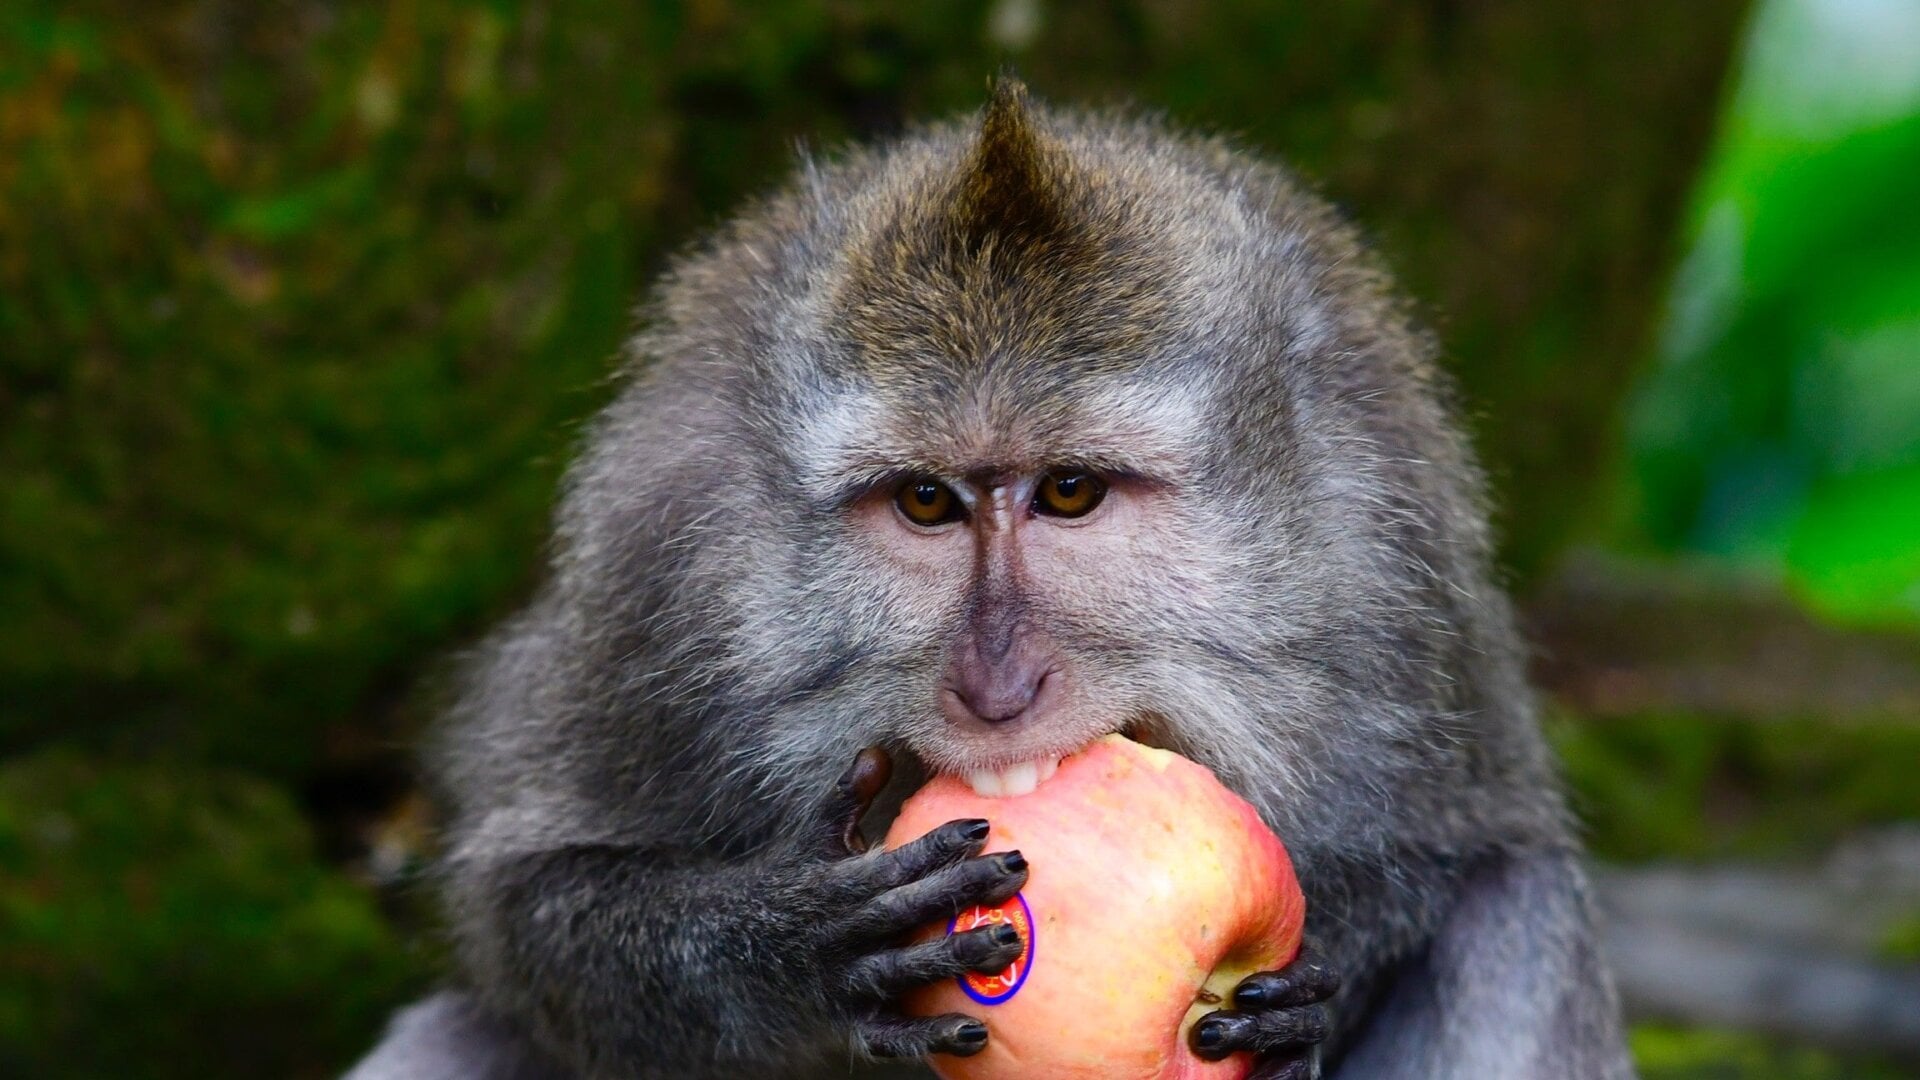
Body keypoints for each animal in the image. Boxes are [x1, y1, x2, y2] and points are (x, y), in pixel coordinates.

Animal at [348, 79, 1632, 1079]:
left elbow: (1450, 853)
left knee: (1512, 921)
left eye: (1070, 491)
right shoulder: (662, 568)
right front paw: (788, 954)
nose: (997, 688)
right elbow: (528, 903)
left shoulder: (1390, 565)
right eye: (926, 502)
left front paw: (1299, 1006)